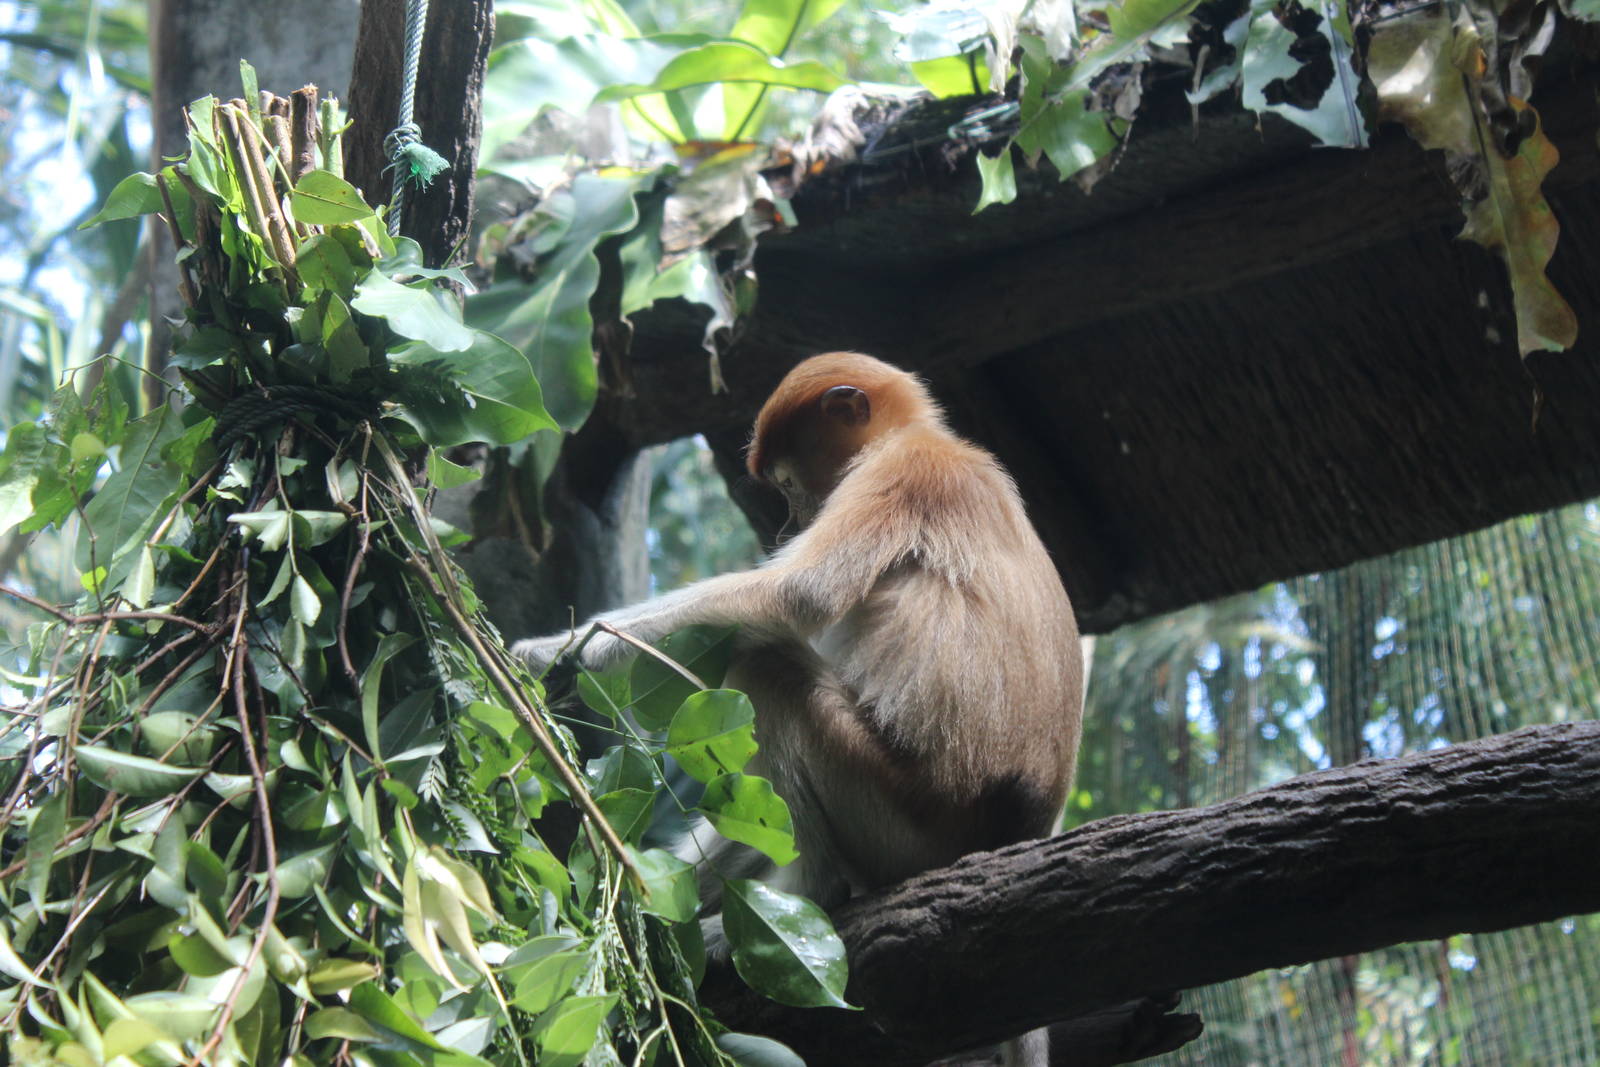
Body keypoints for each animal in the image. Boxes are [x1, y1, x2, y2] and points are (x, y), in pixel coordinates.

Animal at [514, 353, 1082, 1066]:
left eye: (787, 482)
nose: (789, 523)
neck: (918, 436)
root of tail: (1015, 831)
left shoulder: (903, 473)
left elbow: (794, 595)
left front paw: (550, 654)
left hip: (903, 816)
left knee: (770, 670)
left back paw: (807, 899)